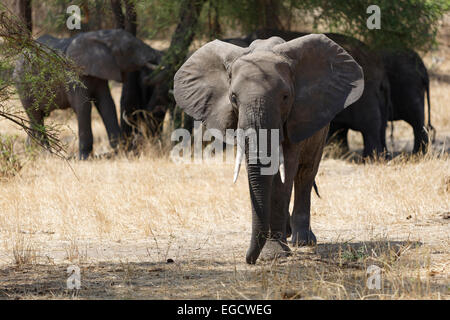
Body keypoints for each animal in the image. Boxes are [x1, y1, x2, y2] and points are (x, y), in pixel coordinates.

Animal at [13, 29, 162, 159]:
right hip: (23, 84)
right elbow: (83, 107)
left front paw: (121, 152)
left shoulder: (100, 73)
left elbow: (107, 105)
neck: (100, 38)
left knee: (36, 118)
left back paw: (31, 152)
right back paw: (46, 155)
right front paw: (84, 158)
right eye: (129, 48)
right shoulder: (74, 74)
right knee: (36, 116)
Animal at [174, 35, 364, 264]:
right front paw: (271, 250)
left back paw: (302, 241)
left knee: (306, 173)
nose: (249, 259)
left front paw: (273, 253)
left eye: (285, 97)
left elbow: (286, 172)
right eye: (233, 98)